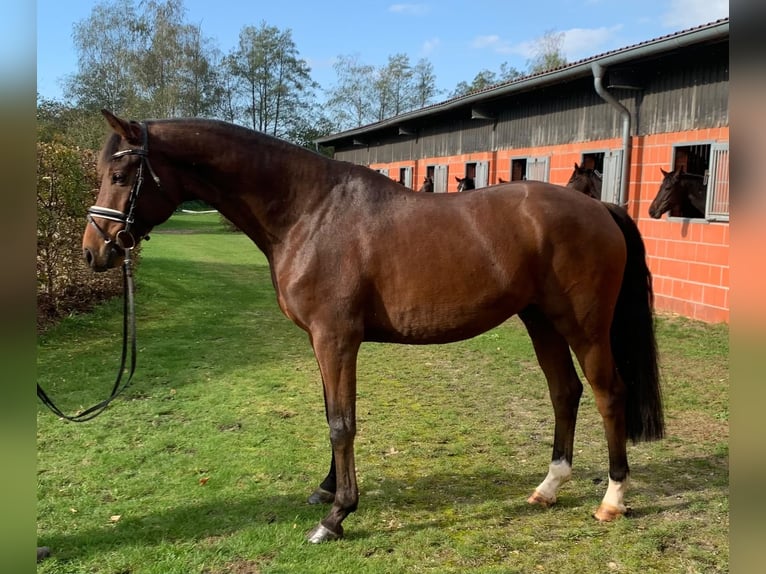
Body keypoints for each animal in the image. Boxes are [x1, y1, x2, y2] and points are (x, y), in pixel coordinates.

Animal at [83, 110, 664, 544]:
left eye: (121, 175)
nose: (94, 252)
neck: (309, 212)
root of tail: (601, 208)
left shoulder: (336, 338)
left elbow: (342, 422)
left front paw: (336, 516)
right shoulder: (322, 341)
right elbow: (330, 413)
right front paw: (326, 490)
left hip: (584, 326)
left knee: (608, 393)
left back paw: (612, 499)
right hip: (540, 320)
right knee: (564, 392)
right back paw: (549, 487)